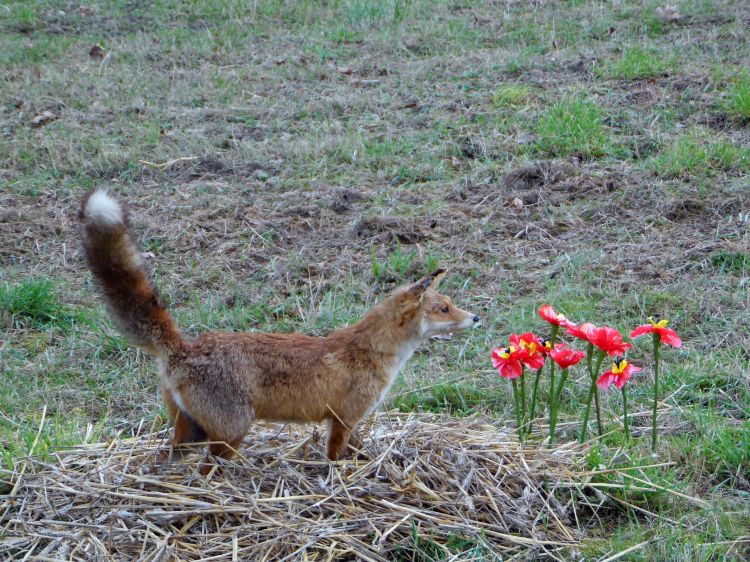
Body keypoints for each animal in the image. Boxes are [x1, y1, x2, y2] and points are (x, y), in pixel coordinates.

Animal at [79, 188, 482, 468]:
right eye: (444, 308)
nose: (477, 318)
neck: (373, 352)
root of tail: (185, 348)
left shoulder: (351, 421)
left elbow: (358, 449)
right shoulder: (343, 418)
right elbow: (335, 456)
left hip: (190, 431)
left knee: (167, 458)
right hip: (232, 430)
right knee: (210, 465)